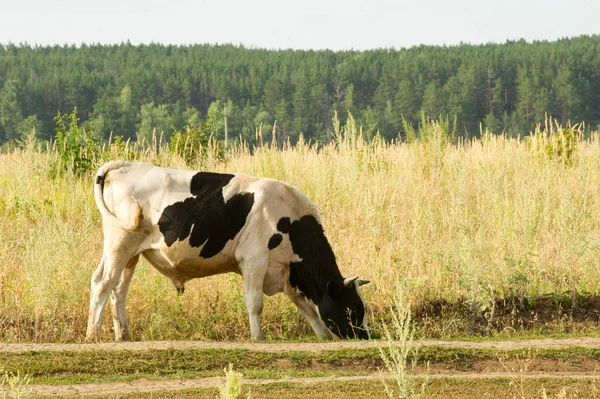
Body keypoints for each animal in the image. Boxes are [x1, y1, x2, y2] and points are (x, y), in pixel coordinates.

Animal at [86, 161, 370, 342]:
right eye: (352, 309)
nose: (367, 336)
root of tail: (125, 165)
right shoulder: (254, 260)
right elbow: (255, 304)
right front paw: (258, 337)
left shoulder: (287, 272)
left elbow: (307, 309)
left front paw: (321, 336)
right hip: (119, 242)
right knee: (102, 283)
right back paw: (93, 334)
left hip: (131, 254)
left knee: (119, 290)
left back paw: (123, 335)